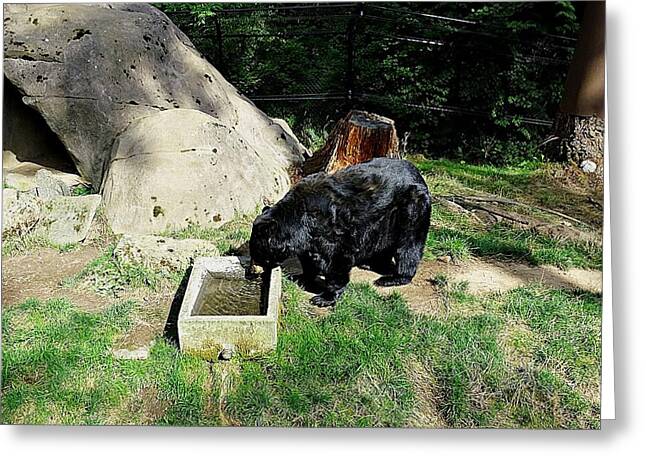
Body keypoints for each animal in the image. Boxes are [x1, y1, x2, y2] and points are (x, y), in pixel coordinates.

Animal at [249, 158, 432, 307]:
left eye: (257, 253)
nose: (251, 272)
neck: (301, 221)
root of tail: (418, 174)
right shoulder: (307, 239)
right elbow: (308, 258)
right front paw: (302, 277)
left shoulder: (331, 229)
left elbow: (335, 259)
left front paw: (323, 297)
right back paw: (371, 263)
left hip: (411, 210)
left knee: (409, 245)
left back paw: (391, 278)